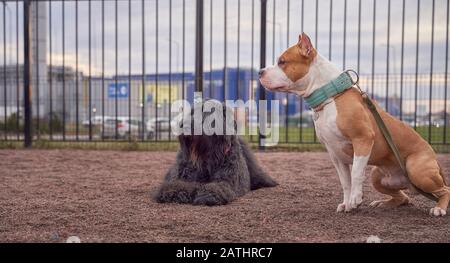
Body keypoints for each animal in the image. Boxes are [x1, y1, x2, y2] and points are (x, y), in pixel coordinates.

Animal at [258, 32, 448, 217]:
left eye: (282, 61)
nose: (259, 71)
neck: (329, 96)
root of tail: (434, 158)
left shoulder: (363, 139)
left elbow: (356, 172)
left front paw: (355, 198)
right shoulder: (334, 153)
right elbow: (345, 181)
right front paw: (347, 203)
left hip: (417, 170)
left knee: (445, 190)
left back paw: (439, 208)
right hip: (377, 177)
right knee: (404, 197)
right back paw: (384, 203)